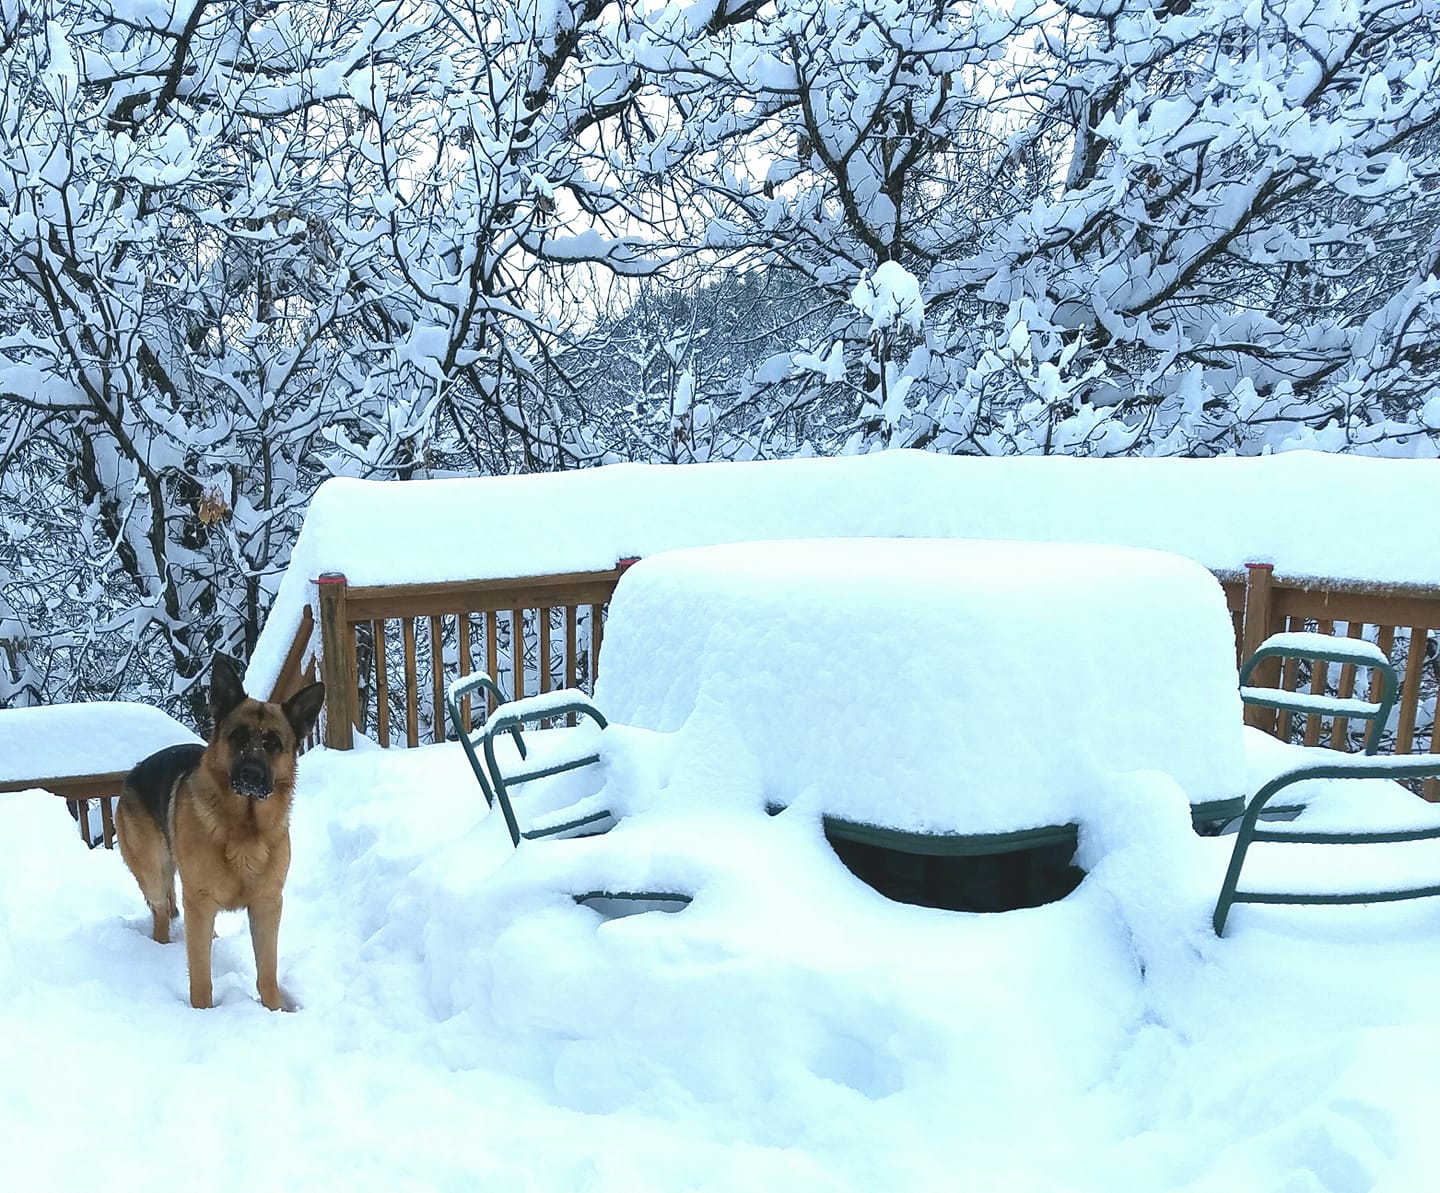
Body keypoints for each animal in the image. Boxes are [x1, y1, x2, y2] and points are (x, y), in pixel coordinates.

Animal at [113, 657, 326, 1008]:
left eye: (272, 743)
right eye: (237, 736)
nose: (250, 775)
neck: (244, 829)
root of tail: (135, 770)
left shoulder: (266, 906)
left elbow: (267, 973)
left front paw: (275, 1011)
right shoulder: (200, 902)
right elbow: (201, 977)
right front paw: (202, 1013)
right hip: (154, 875)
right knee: (161, 913)